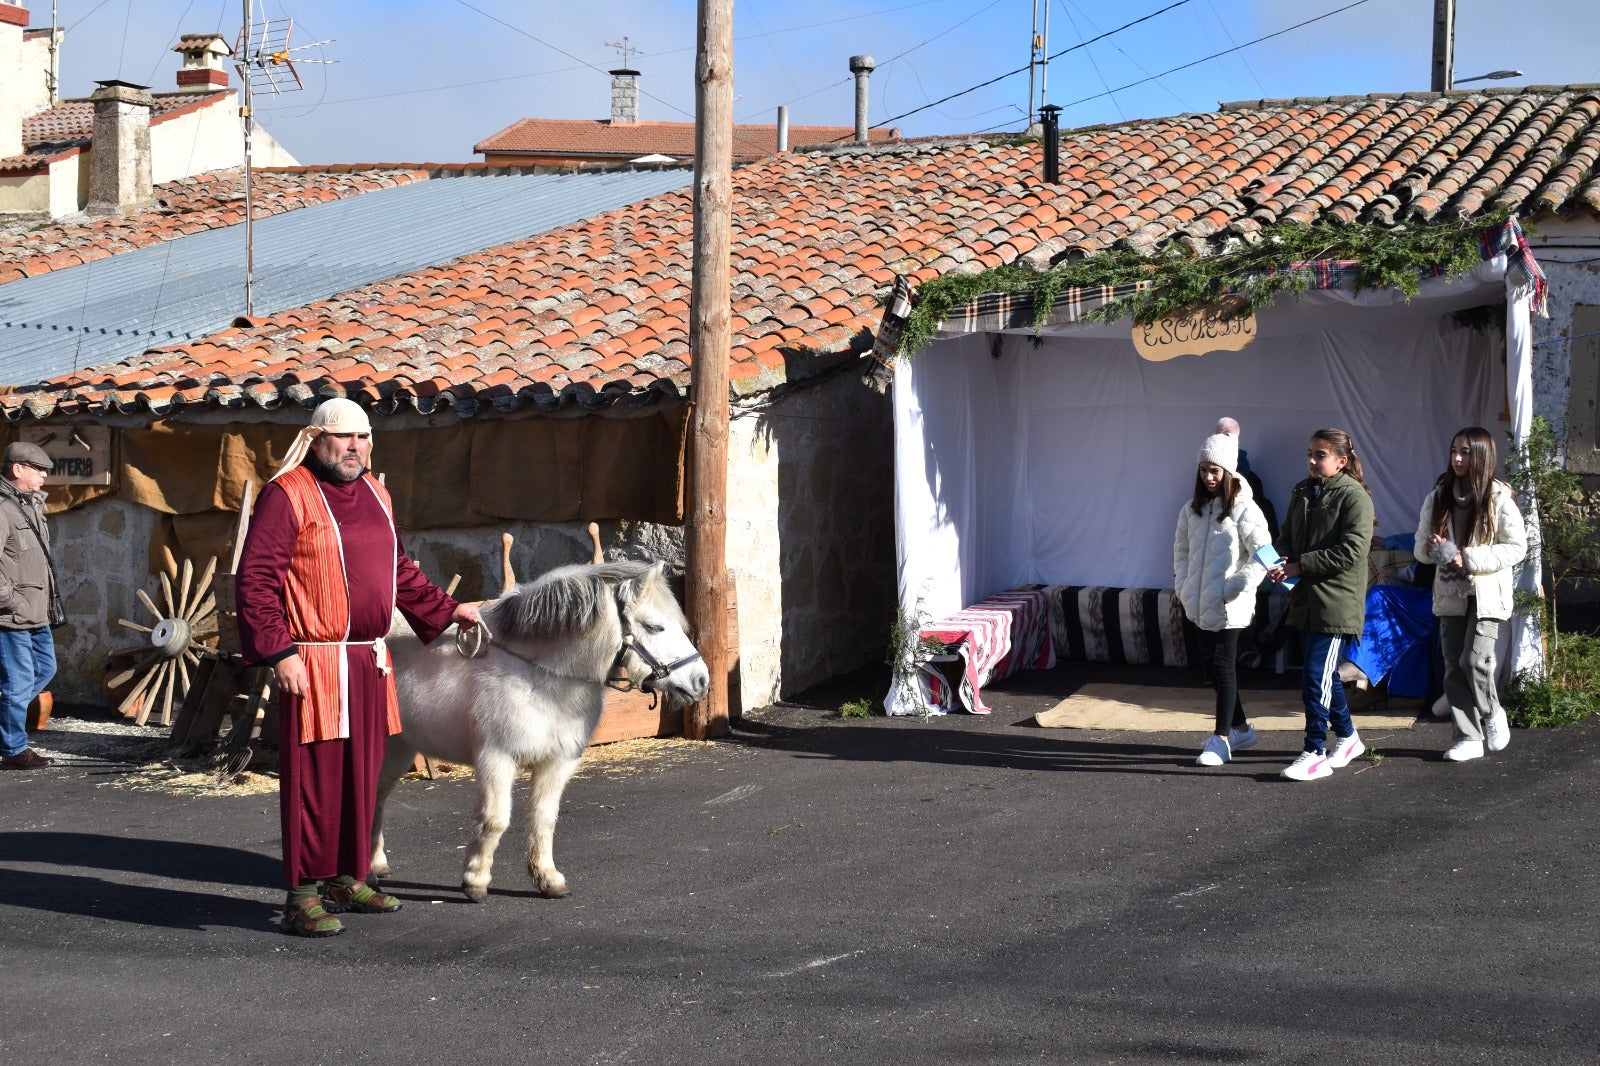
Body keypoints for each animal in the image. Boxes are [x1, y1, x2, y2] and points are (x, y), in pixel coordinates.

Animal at [372, 560, 707, 902]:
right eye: (655, 627)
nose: (700, 681)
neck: (537, 675)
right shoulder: (497, 759)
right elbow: (494, 820)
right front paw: (475, 881)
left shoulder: (558, 762)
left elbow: (543, 818)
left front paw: (547, 878)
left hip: (399, 750)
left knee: (377, 796)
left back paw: (376, 864)